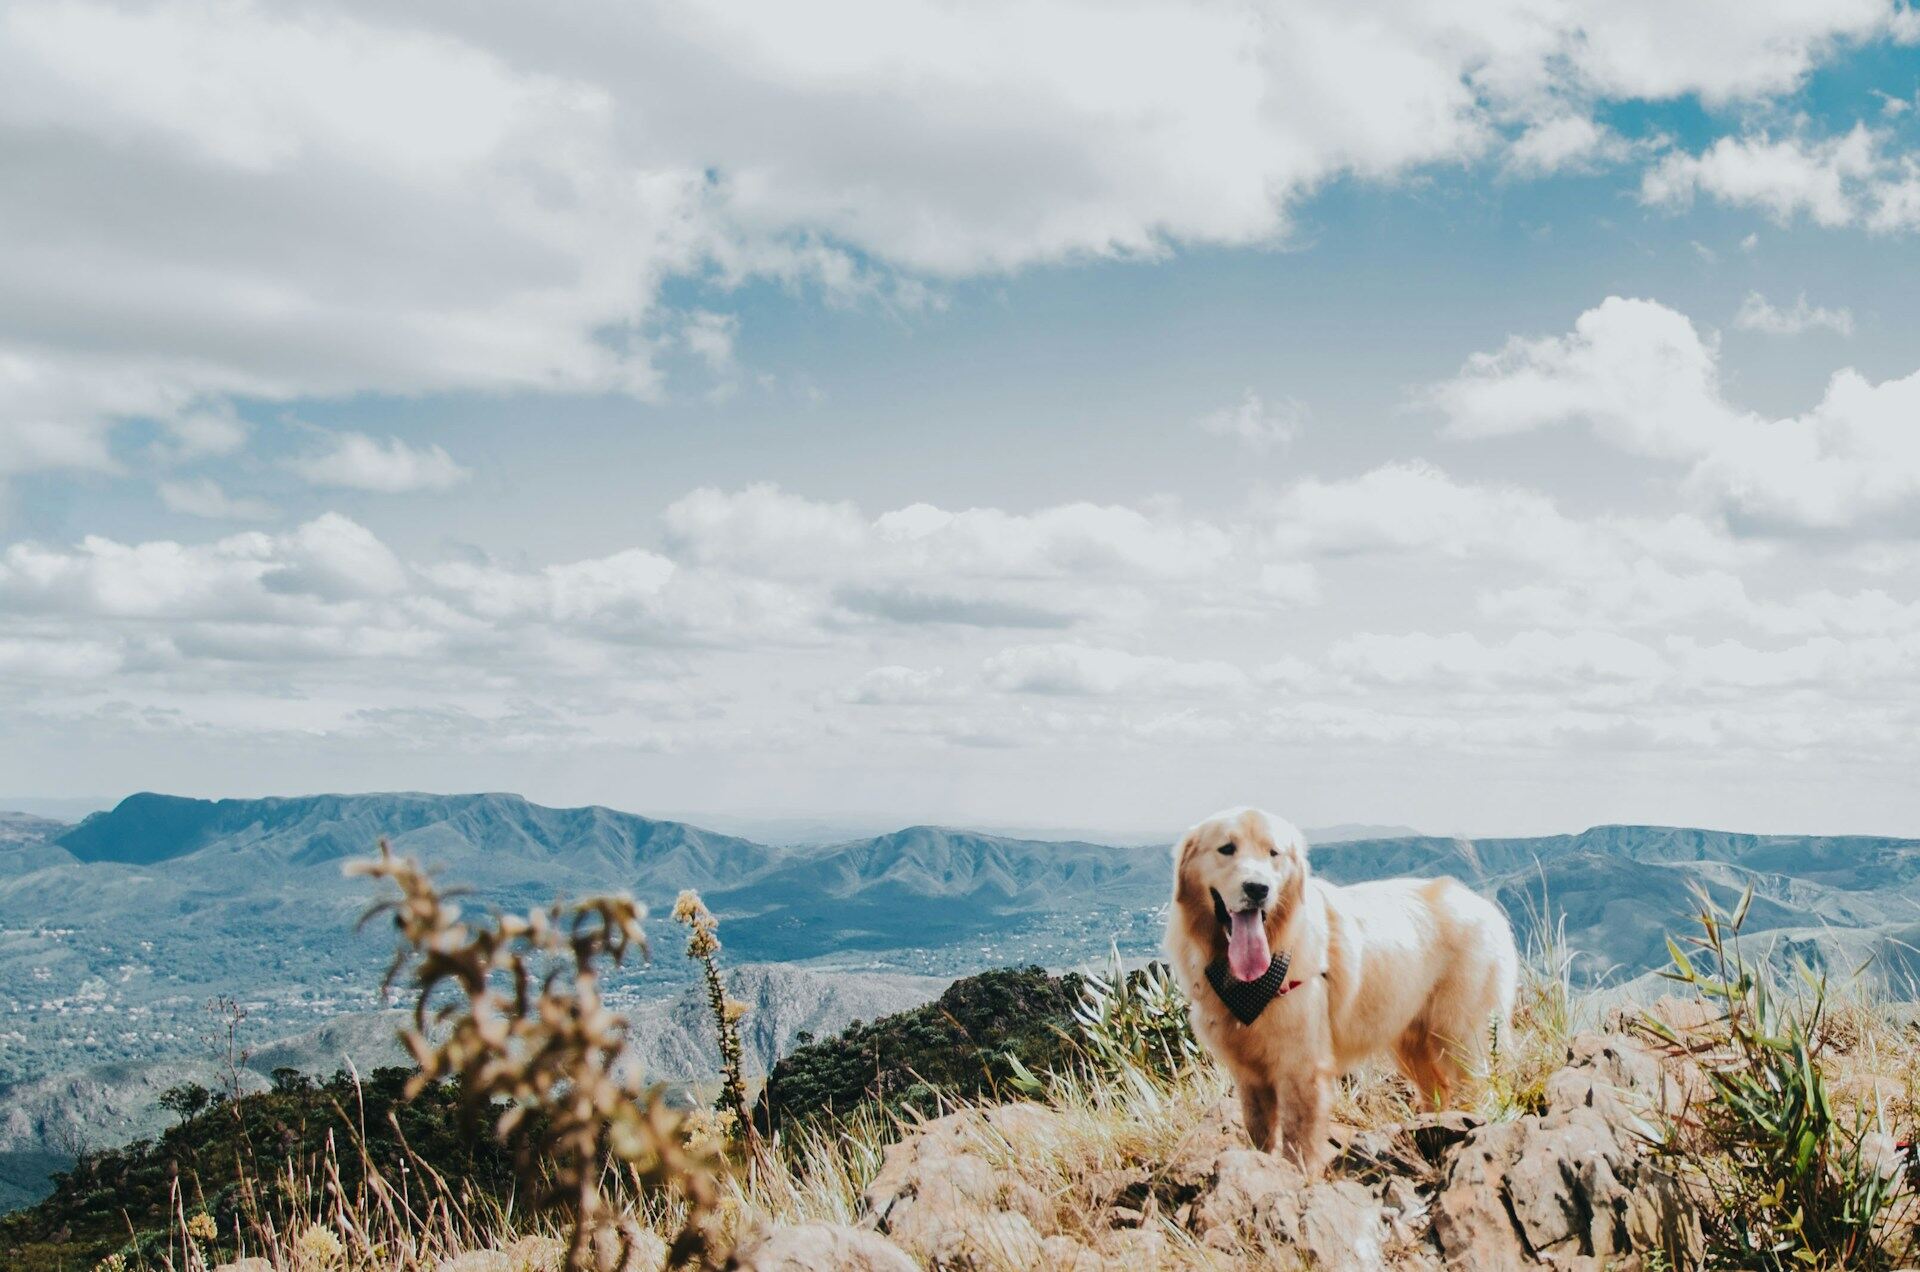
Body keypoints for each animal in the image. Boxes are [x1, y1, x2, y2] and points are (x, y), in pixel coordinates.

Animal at [1167, 807, 1512, 1175]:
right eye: (1227, 849)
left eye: (1273, 853)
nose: (1258, 888)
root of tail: (1486, 907)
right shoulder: (1250, 1074)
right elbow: (1260, 1131)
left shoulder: (1302, 1066)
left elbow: (1299, 1136)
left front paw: (1300, 1175)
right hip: (1412, 1043)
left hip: (1458, 1035)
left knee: (1473, 1085)